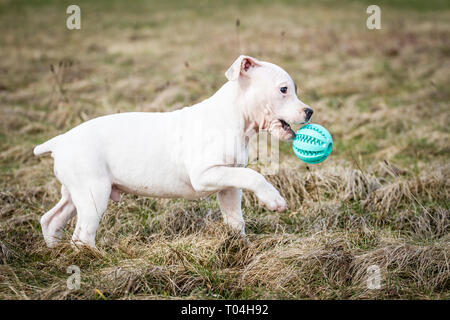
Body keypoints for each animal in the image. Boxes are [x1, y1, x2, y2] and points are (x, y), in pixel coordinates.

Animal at [34, 55, 312, 248]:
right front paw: (274, 200)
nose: (309, 111)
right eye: (284, 89)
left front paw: (240, 248)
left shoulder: (229, 183)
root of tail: (60, 141)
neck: (235, 118)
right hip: (93, 192)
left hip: (75, 192)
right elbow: (255, 176)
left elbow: (236, 218)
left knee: (51, 220)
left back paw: (55, 251)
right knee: (81, 235)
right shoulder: (204, 175)